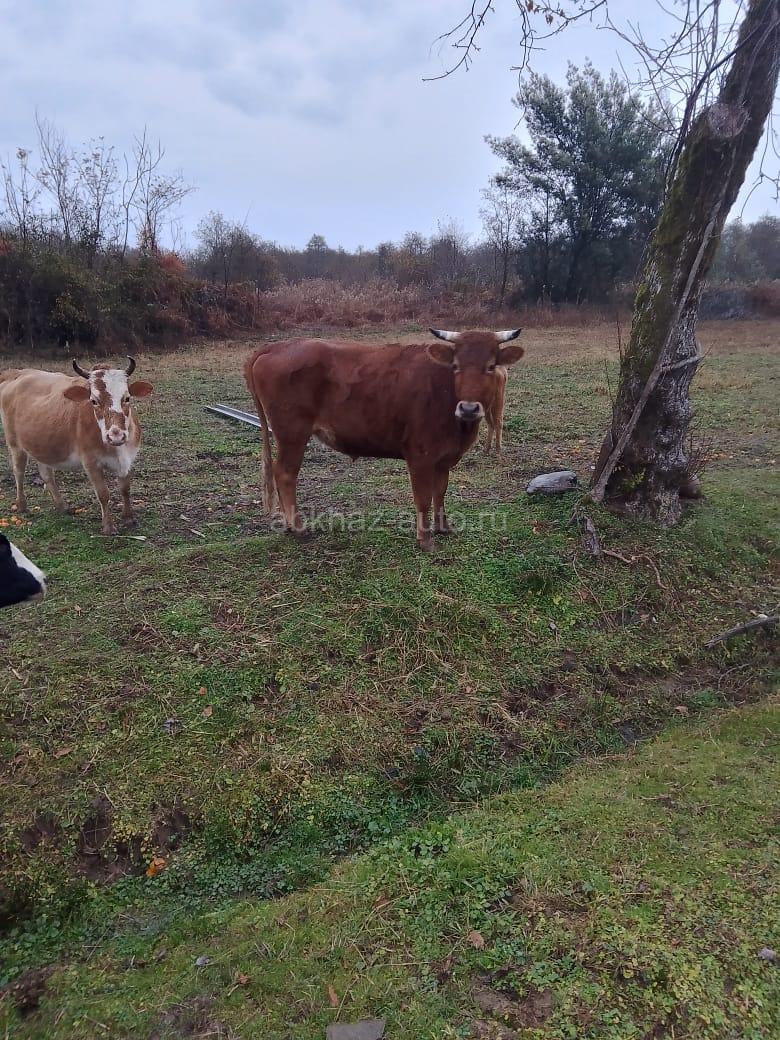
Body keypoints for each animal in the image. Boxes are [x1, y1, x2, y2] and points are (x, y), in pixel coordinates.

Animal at [0, 358, 153, 534]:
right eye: (93, 401)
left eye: (127, 398)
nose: (116, 435)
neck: (118, 449)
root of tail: (17, 373)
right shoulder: (90, 462)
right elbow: (103, 494)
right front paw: (108, 526)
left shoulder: (129, 458)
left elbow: (125, 489)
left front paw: (129, 518)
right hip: (14, 443)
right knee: (18, 472)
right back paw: (22, 505)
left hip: (42, 445)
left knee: (47, 474)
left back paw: (62, 506)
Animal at [243, 328, 524, 550]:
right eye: (456, 366)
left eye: (491, 366)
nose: (468, 408)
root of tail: (276, 345)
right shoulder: (420, 455)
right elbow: (423, 497)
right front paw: (425, 539)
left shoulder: (443, 458)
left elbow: (440, 492)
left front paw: (443, 527)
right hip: (292, 434)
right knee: (285, 474)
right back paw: (298, 527)